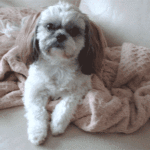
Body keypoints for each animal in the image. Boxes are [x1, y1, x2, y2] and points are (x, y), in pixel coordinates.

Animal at [22, 1, 104, 145]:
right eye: (49, 26)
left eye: (74, 31)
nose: (60, 35)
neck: (58, 64)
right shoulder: (34, 89)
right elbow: (37, 112)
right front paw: (37, 132)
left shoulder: (79, 89)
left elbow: (65, 106)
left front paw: (57, 125)